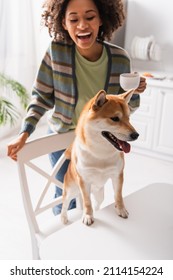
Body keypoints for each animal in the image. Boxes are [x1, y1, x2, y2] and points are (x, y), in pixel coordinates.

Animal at [60, 89, 139, 225]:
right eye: (115, 118)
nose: (136, 135)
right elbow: (87, 203)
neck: (101, 153)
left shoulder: (117, 175)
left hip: (99, 194)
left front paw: (121, 209)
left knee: (96, 204)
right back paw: (64, 218)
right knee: (65, 203)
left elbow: (118, 196)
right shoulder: (84, 180)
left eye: (128, 118)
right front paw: (87, 216)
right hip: (71, 190)